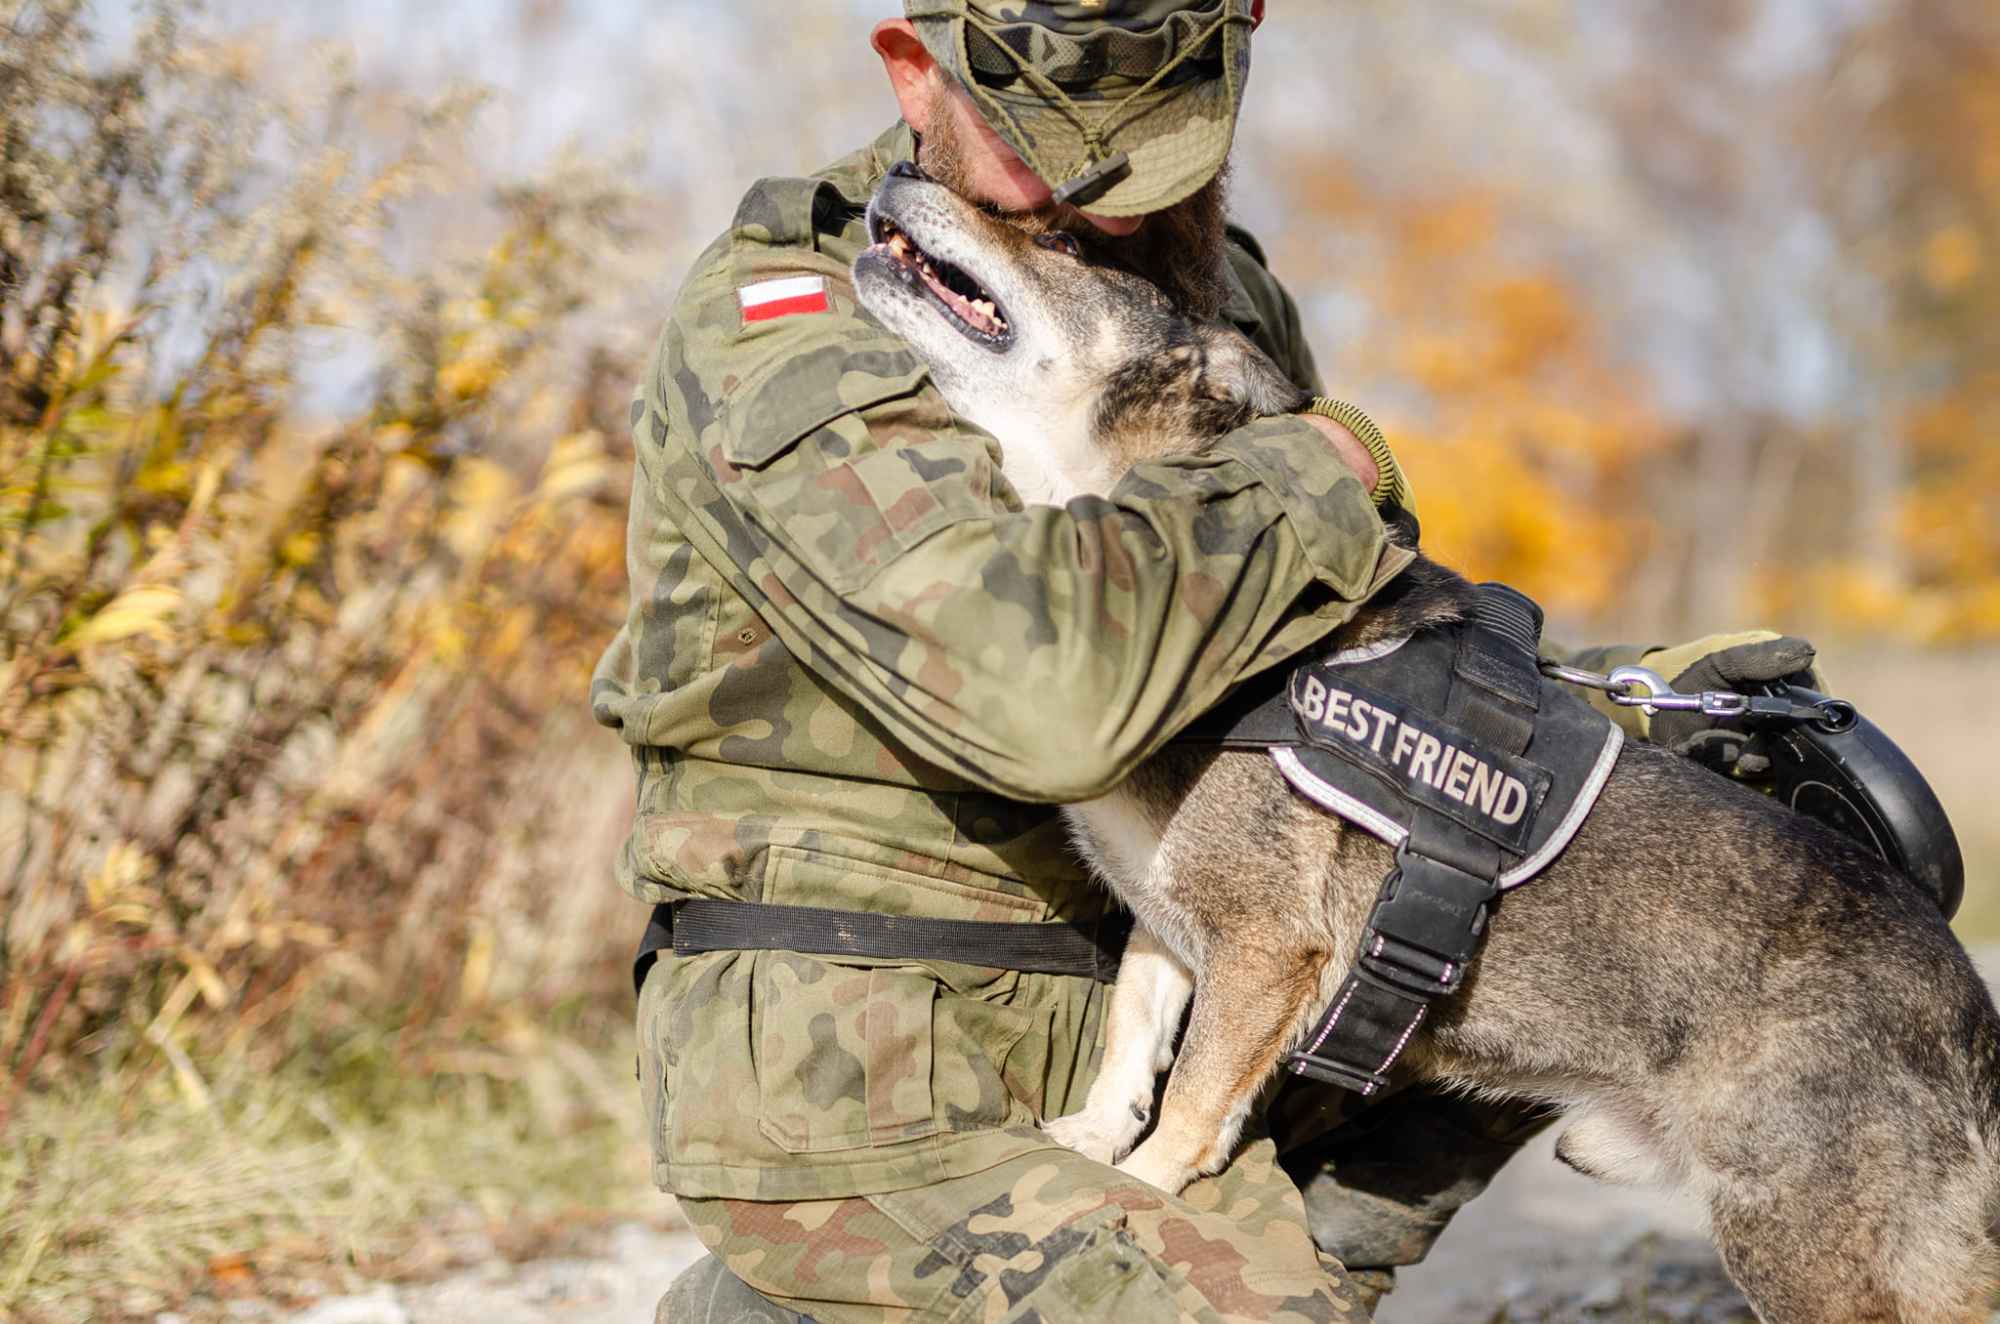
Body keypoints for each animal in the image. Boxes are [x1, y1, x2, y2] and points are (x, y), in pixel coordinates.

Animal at [852, 174, 2000, 1324]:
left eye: (1056, 241)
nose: (893, 178)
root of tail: (1969, 1015)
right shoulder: (1173, 924)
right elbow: (1135, 1035)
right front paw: (1095, 1138)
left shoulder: (1263, 950)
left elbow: (1192, 1097)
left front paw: (1146, 1184)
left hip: (1801, 1243)